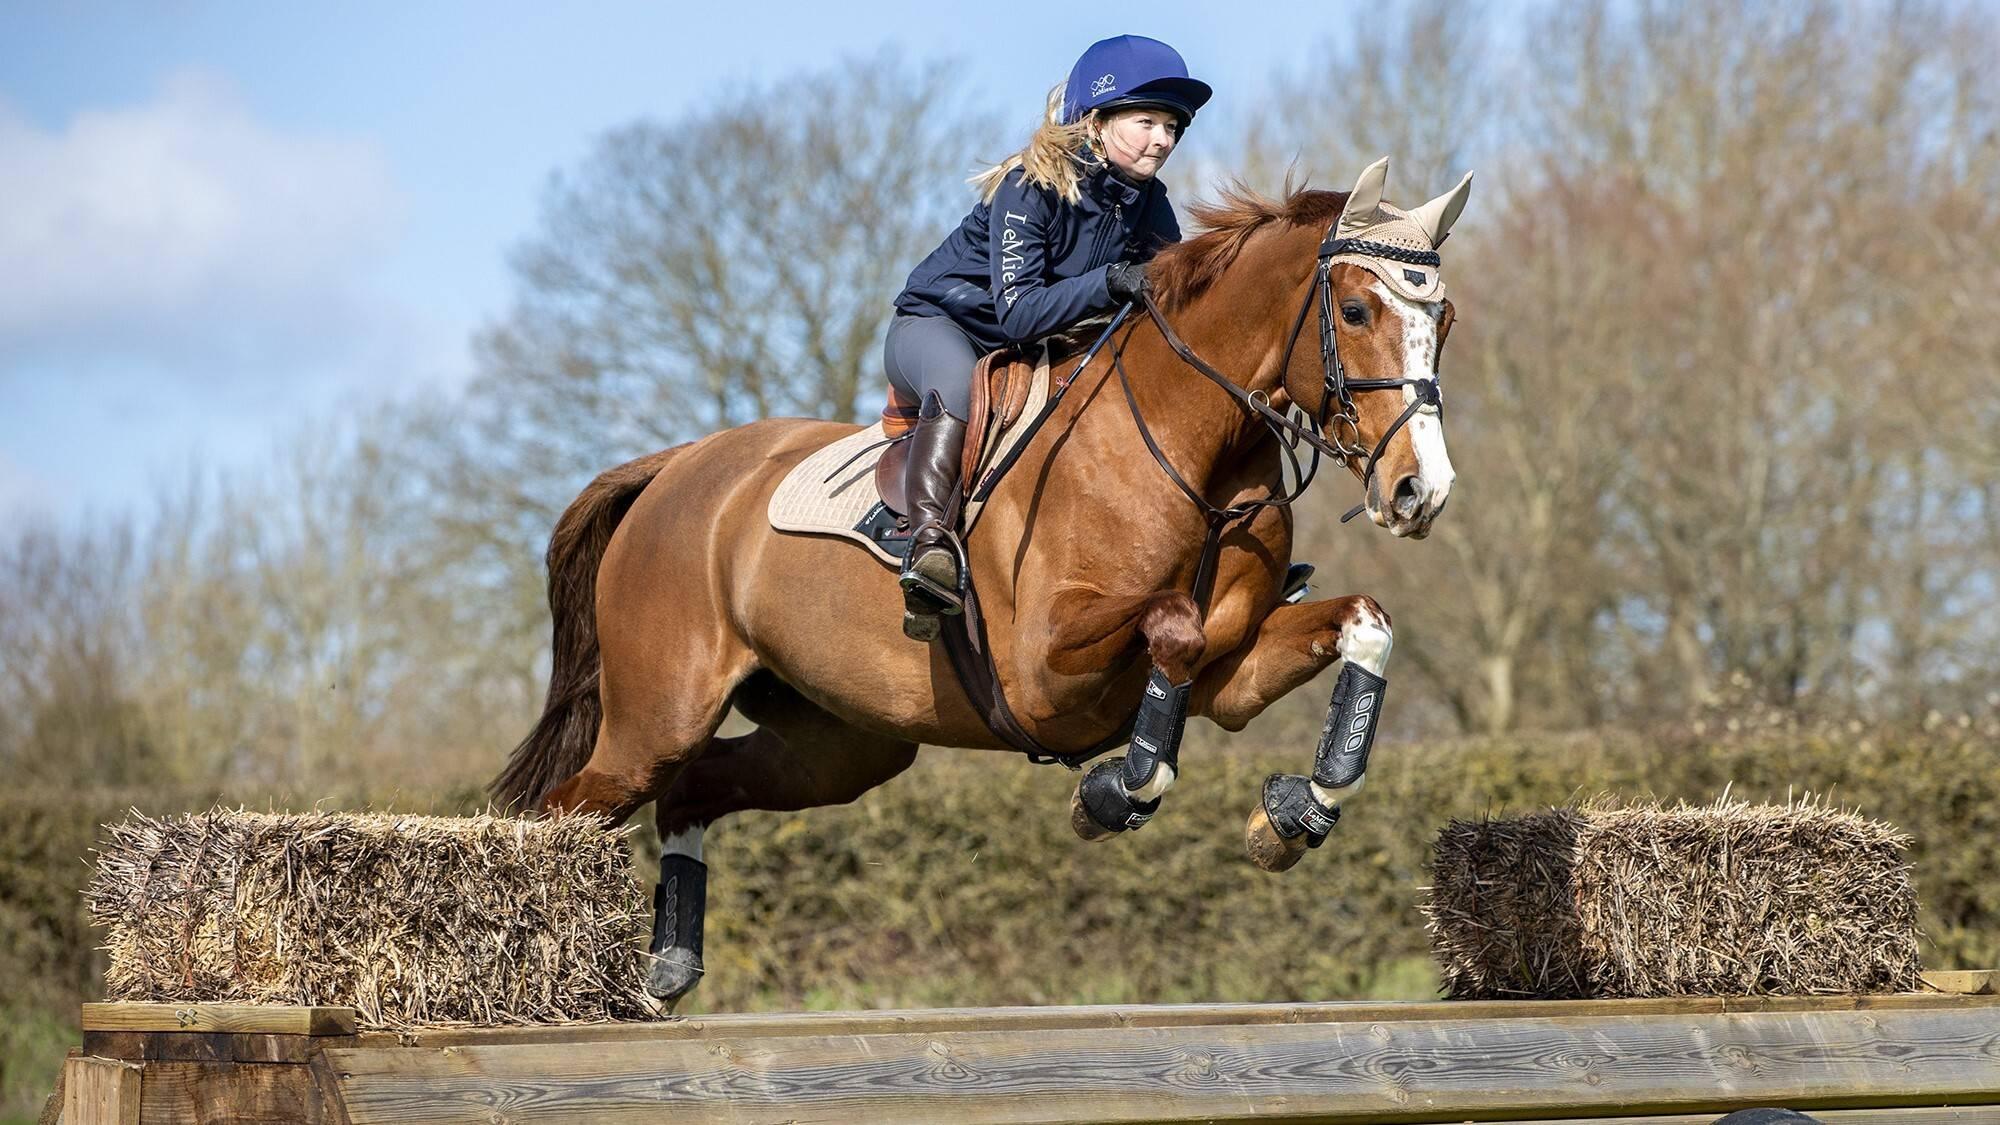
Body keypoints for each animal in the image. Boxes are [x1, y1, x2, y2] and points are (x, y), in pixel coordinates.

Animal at [491, 157, 1472, 1003]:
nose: (1420, 490)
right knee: (561, 812)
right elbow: (1173, 630)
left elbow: (1361, 626)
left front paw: (1292, 814)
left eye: (1447, 322)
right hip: (657, 716)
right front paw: (1109, 794)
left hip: (837, 744)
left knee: (692, 791)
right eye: (1355, 310)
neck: (1192, 442)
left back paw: (666, 970)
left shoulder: (1231, 674)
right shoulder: (1044, 671)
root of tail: (676, 467)